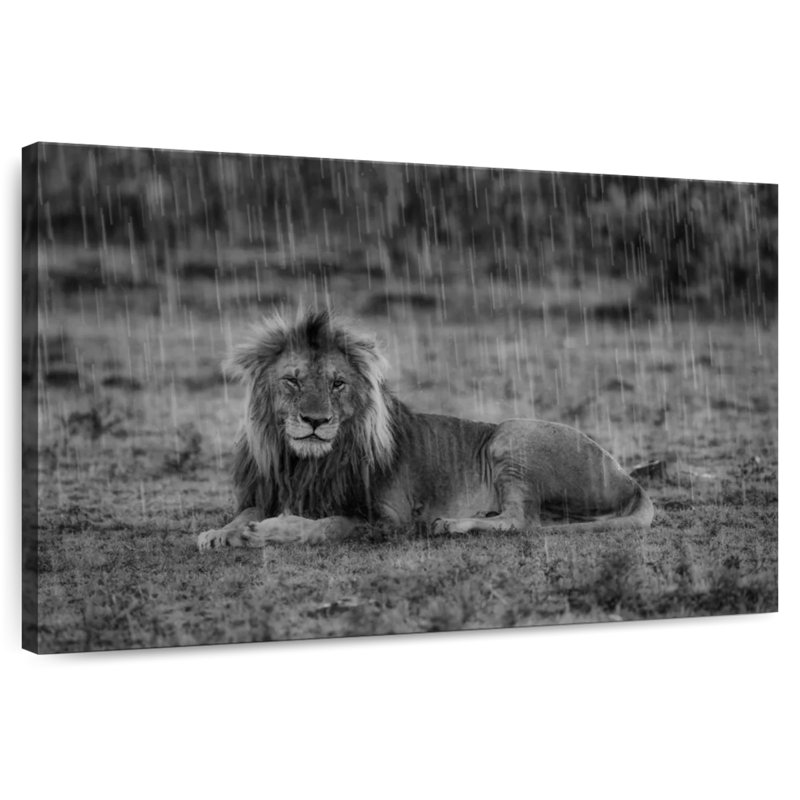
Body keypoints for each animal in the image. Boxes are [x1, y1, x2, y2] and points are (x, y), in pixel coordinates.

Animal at [197, 310, 654, 550]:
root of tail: (629, 479)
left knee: (523, 521)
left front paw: (269, 531)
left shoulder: (388, 519)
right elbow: (244, 513)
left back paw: (450, 524)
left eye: (337, 384)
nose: (315, 421)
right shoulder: (268, 491)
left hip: (512, 435)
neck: (305, 464)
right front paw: (218, 533)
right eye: (292, 381)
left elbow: (329, 525)